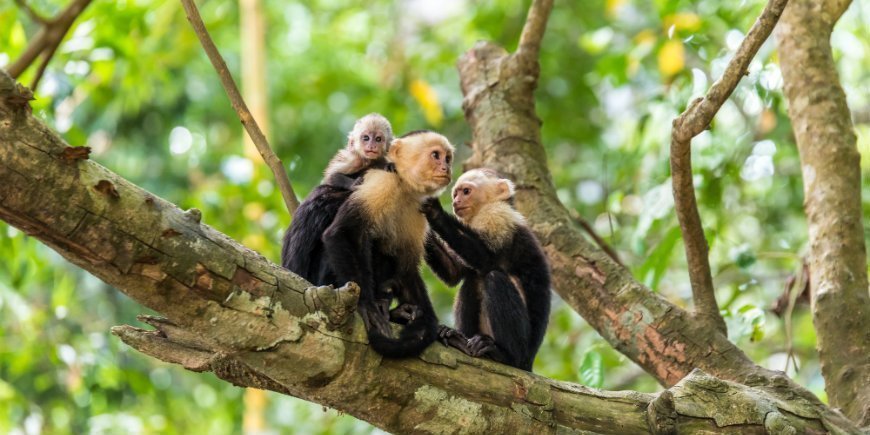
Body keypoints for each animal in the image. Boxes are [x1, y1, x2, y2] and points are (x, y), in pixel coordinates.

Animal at [323, 130, 454, 358]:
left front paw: (428, 322)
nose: (446, 168)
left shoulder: (419, 210)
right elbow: (342, 233)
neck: (403, 186)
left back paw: (397, 311)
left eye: (447, 158)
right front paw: (366, 305)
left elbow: (406, 267)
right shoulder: (381, 183)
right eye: (436, 155)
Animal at [421, 168, 551, 371]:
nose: (455, 202)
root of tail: (529, 363)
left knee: (493, 277)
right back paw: (459, 339)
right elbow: (454, 273)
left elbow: (486, 258)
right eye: (455, 194)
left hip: (522, 350)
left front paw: (434, 212)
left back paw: (504, 355)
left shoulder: (497, 216)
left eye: (466, 192)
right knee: (472, 281)